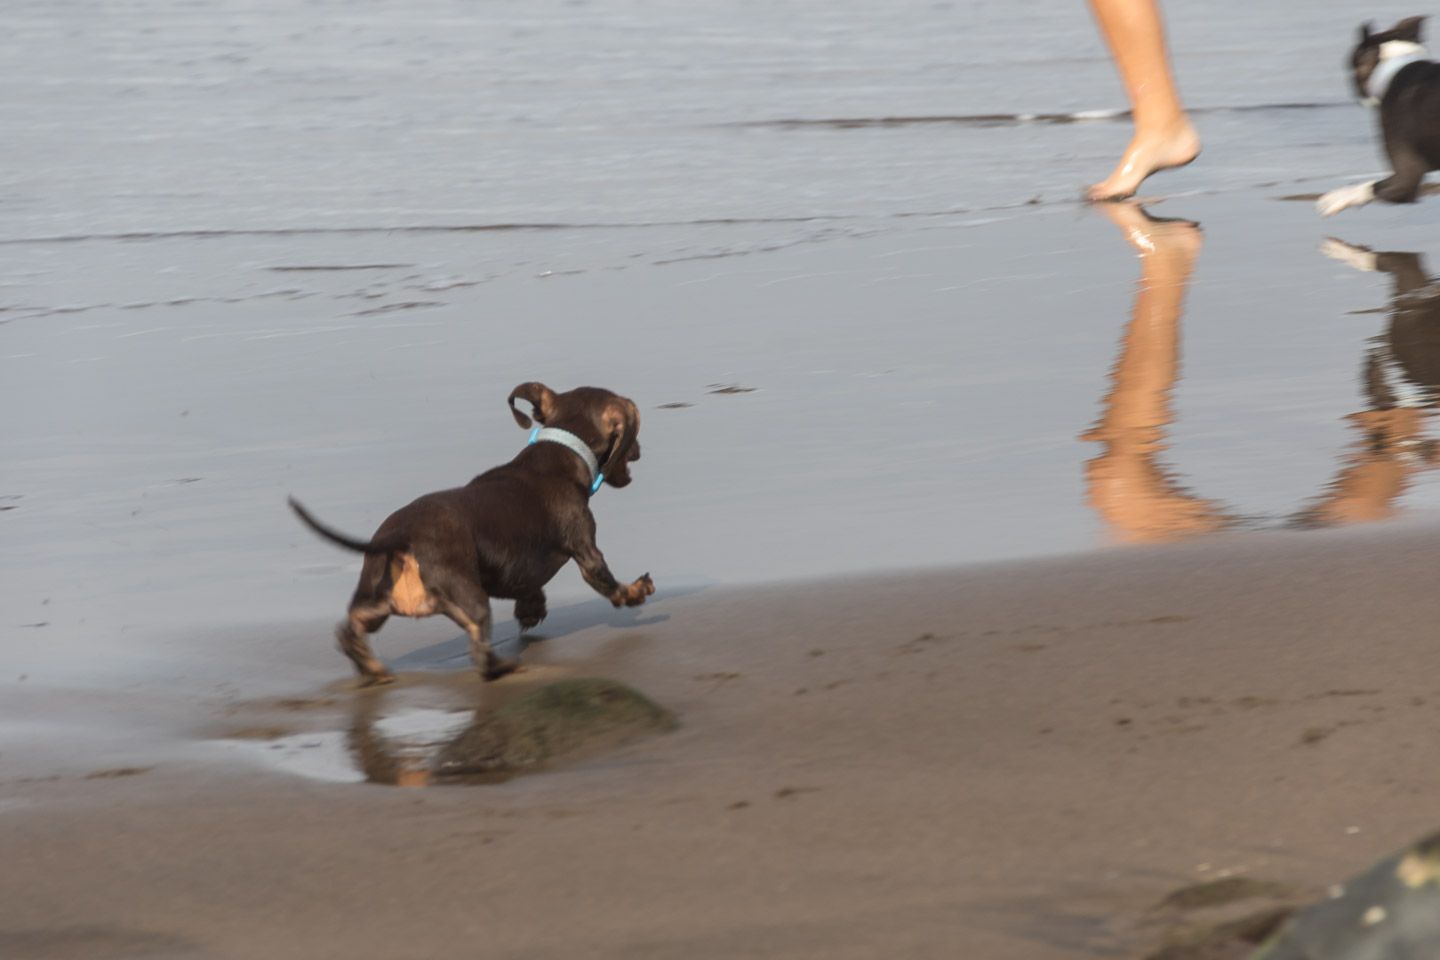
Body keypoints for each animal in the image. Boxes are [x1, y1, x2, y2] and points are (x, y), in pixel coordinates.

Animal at [288, 382, 659, 682]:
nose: (640, 451)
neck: (560, 452)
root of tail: (401, 537)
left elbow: (529, 587)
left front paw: (531, 610)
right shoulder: (586, 549)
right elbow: (608, 584)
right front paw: (636, 591)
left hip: (378, 601)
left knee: (349, 630)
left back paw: (374, 670)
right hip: (470, 600)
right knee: (481, 655)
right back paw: (507, 667)